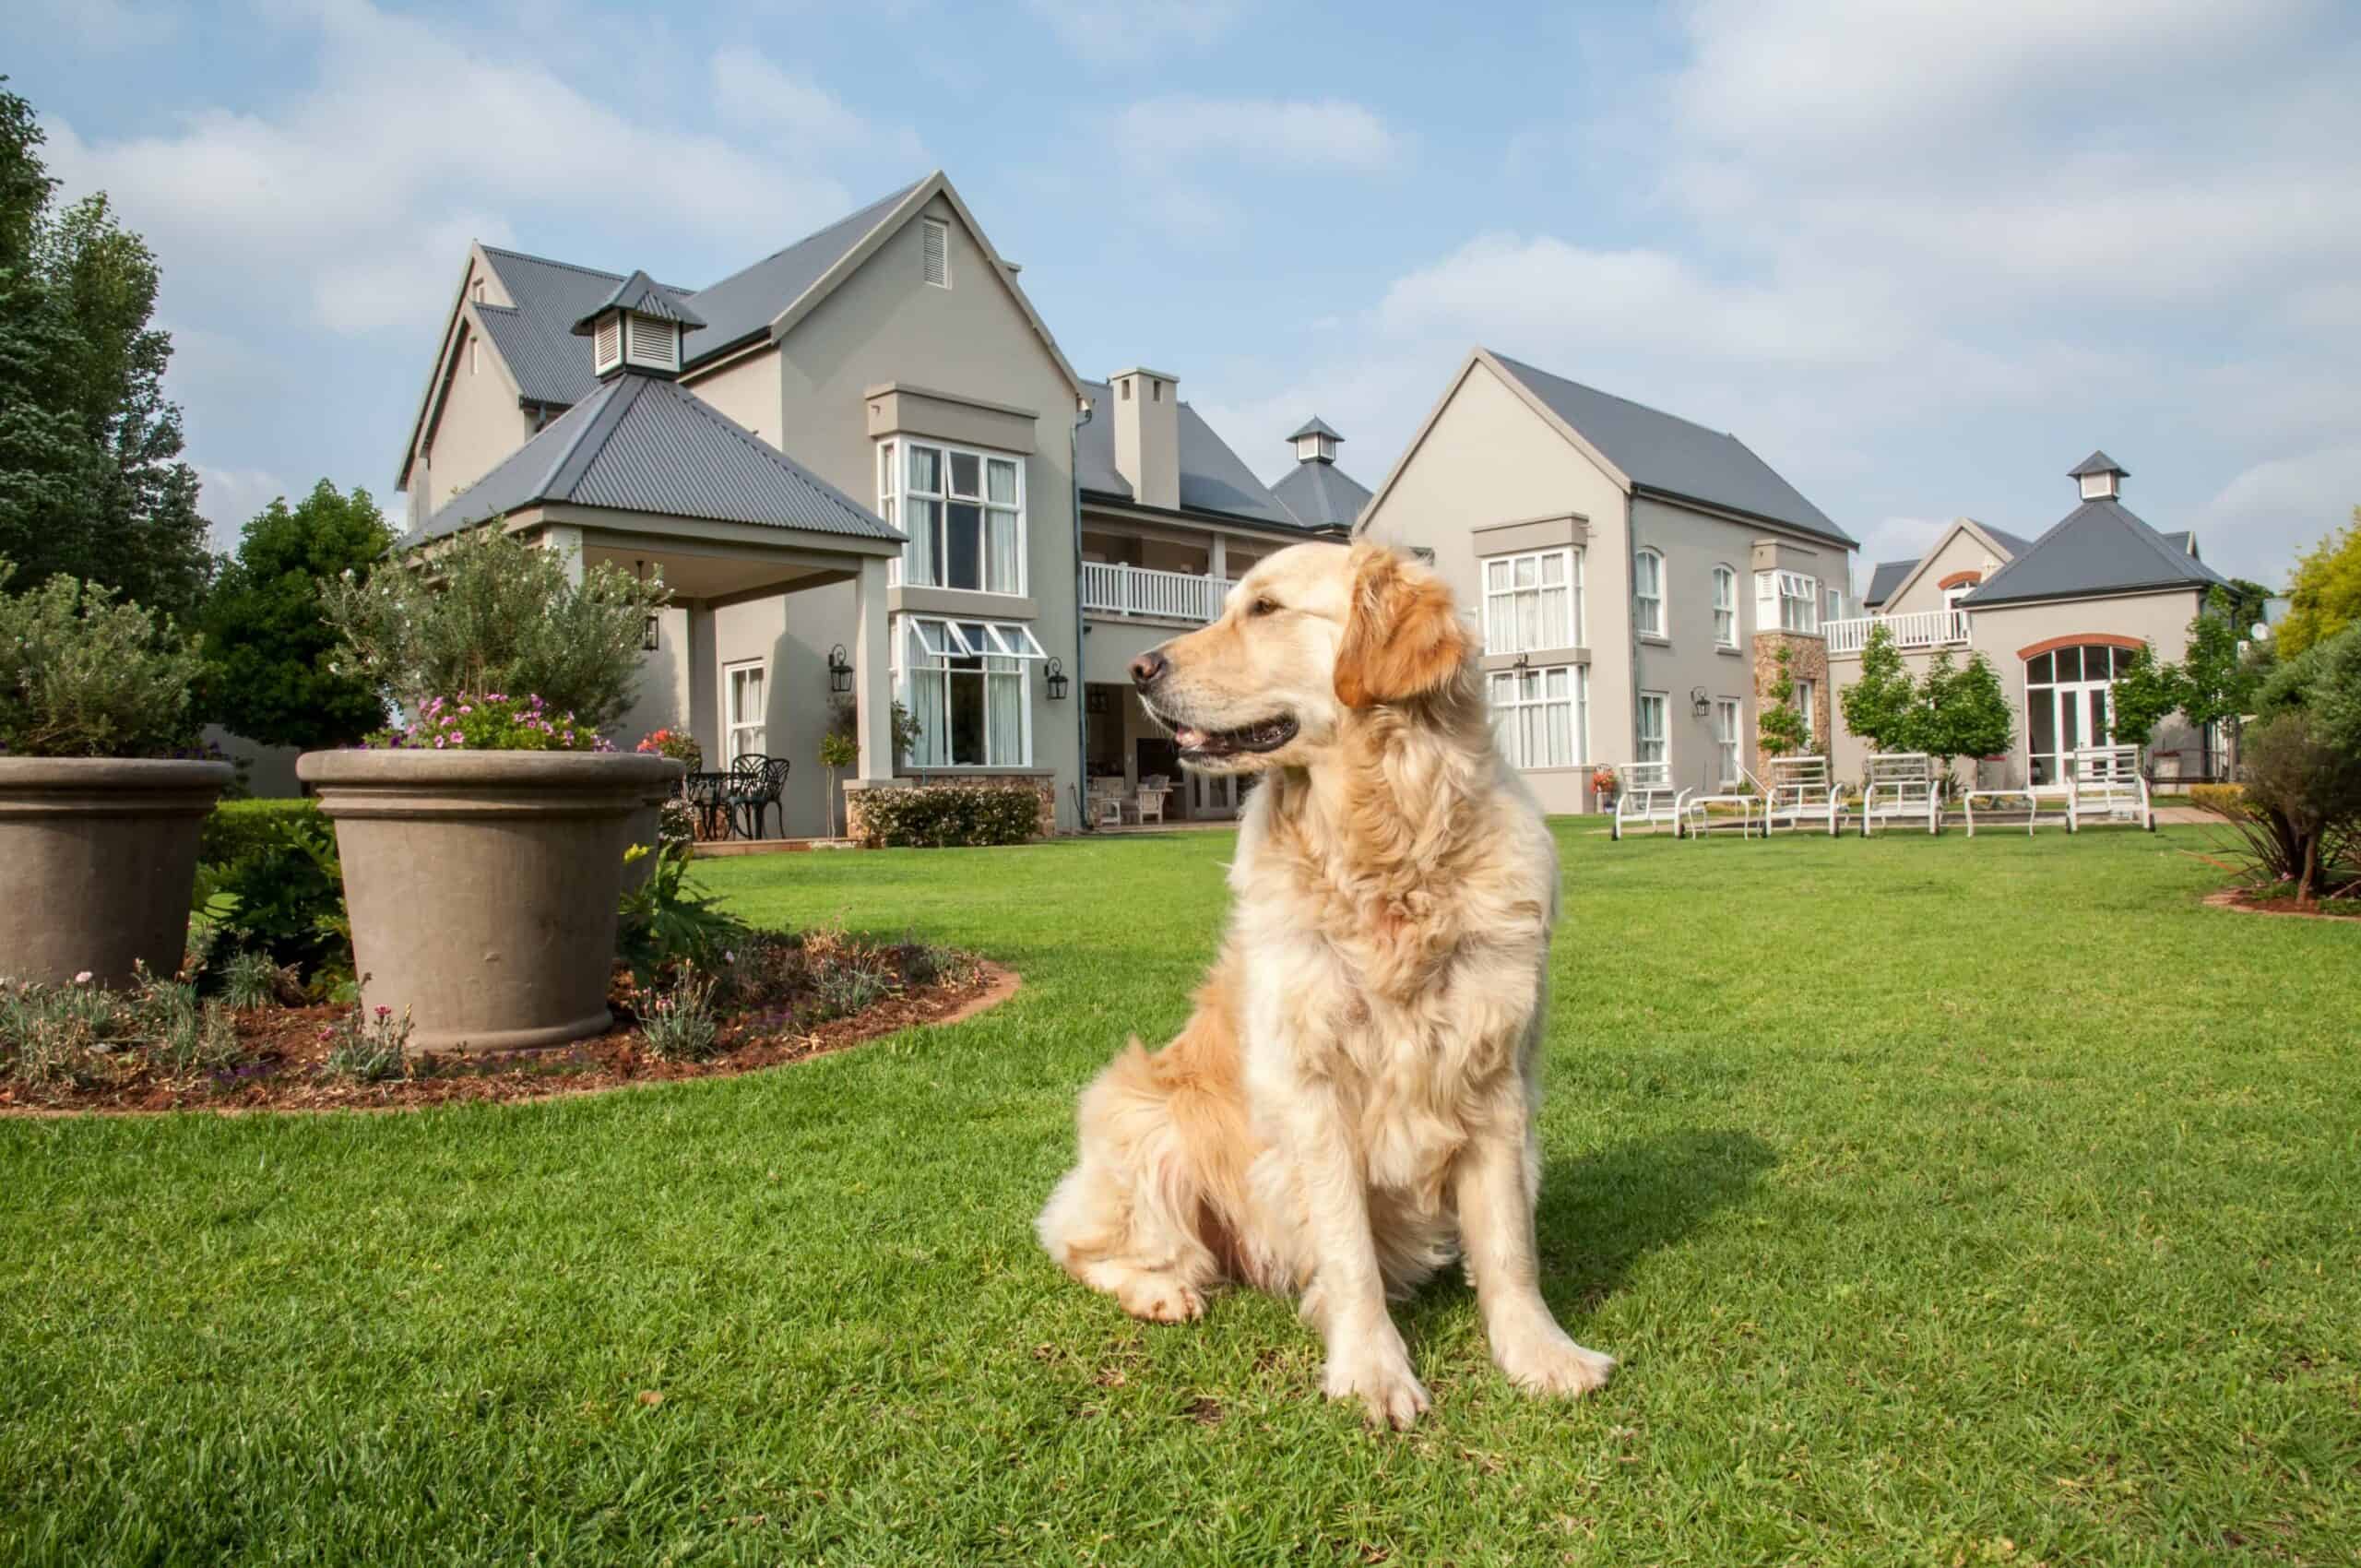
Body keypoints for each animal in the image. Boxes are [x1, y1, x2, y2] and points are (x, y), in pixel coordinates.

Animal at [1043, 542, 1615, 1435]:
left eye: (1266, 609)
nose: (1138, 667)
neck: (1387, 840)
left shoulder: (1493, 1075)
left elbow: (1509, 1246)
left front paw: (1540, 1353)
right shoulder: (1310, 1088)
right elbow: (1348, 1250)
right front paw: (1374, 1372)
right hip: (1142, 1117)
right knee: (1081, 1242)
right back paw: (1162, 1291)